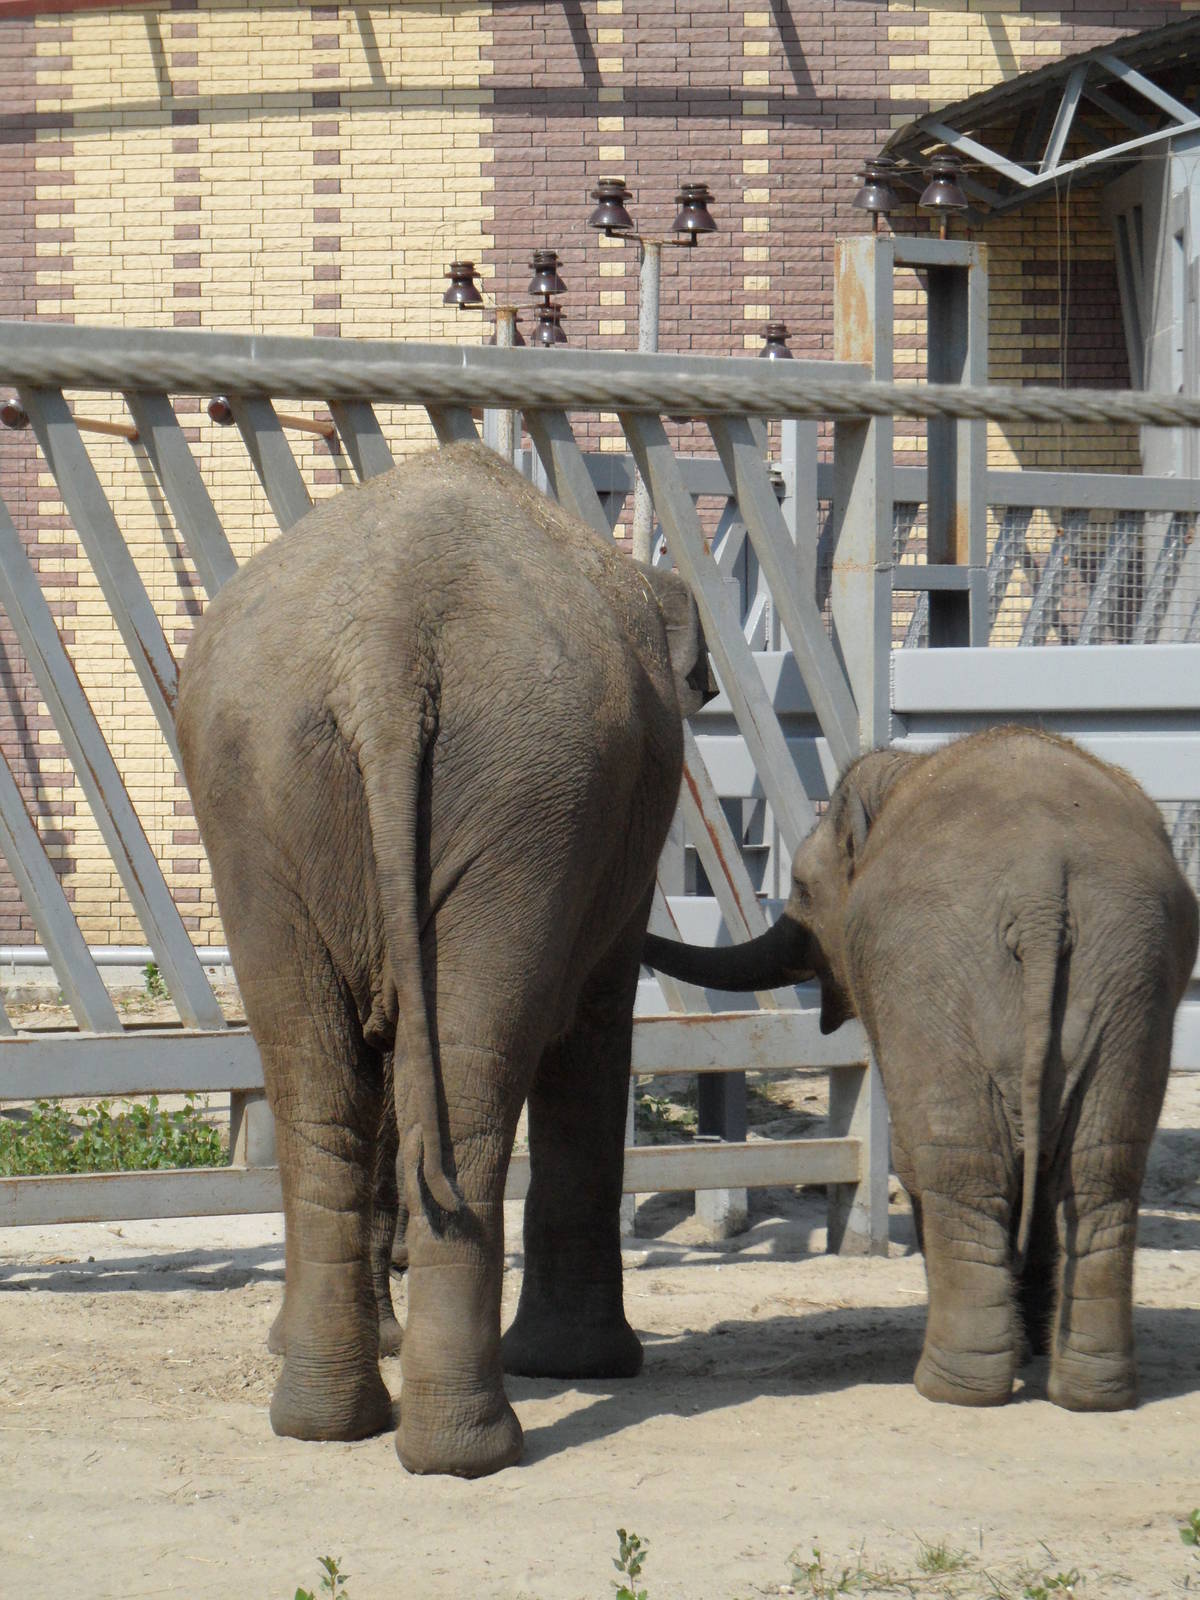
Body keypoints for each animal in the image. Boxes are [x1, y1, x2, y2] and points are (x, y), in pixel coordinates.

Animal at [176, 441, 716, 1477]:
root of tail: (389, 647)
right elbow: (594, 1029)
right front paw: (588, 1366)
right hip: (515, 794)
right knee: (463, 1076)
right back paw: (467, 1448)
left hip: (291, 792)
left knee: (322, 1072)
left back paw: (336, 1421)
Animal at [643, 727, 1198, 1411]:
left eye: (800, 890)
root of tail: (1040, 890)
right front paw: (1031, 1347)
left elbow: (916, 1156)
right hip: (1130, 968)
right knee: (1100, 1169)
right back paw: (1092, 1393)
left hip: (940, 977)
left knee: (961, 1165)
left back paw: (953, 1385)